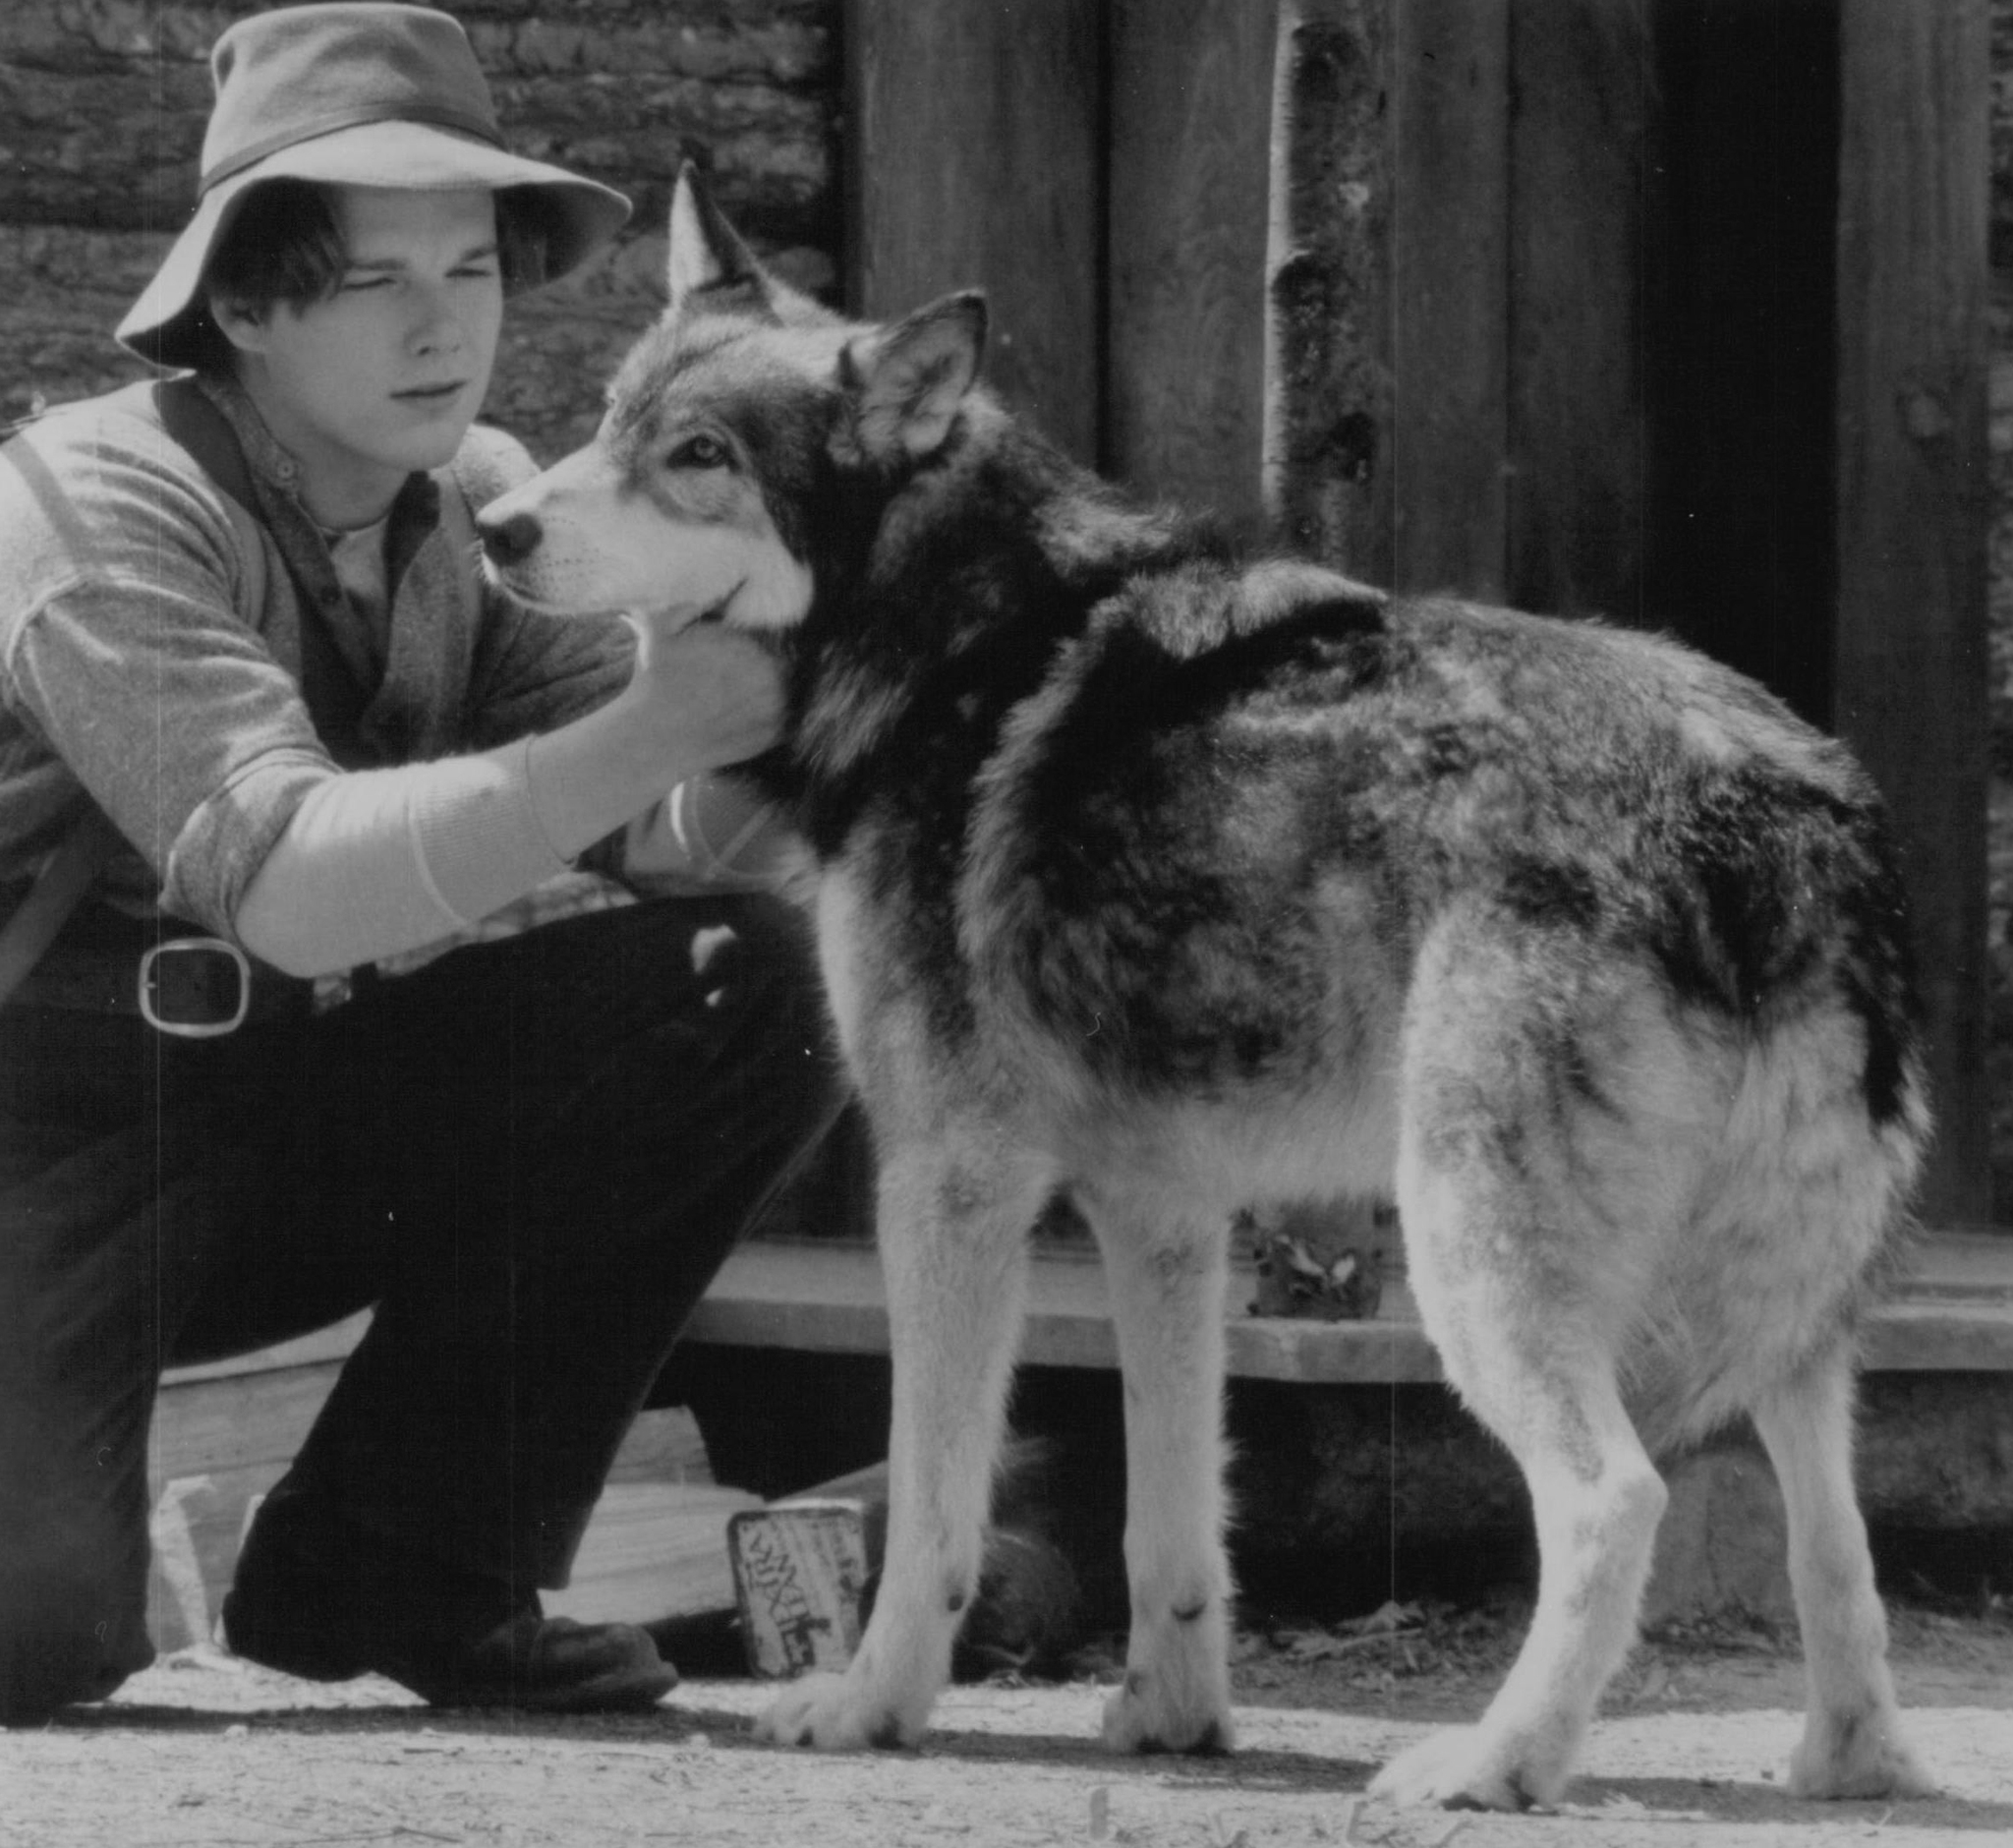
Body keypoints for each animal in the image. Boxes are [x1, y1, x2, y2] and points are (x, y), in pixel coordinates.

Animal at [479, 165, 1940, 1819]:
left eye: (699, 458)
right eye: (610, 419)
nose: (496, 526)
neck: (953, 637)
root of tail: (1790, 805)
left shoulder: (948, 1182)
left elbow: (931, 1503)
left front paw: (865, 1707)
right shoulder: (1162, 1209)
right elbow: (1170, 1517)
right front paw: (1170, 1720)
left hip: (1476, 1266)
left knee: (1613, 1498)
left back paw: (1493, 1764)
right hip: (1791, 1329)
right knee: (1839, 1552)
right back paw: (1842, 1762)